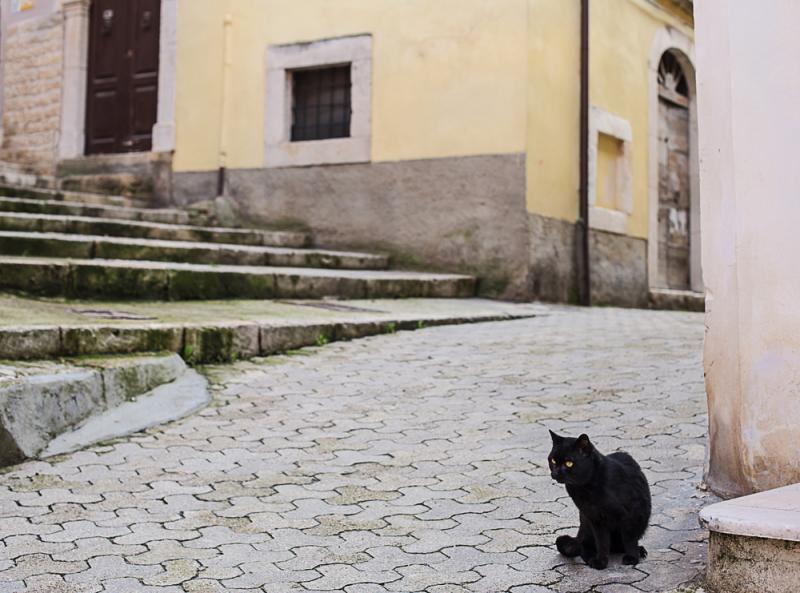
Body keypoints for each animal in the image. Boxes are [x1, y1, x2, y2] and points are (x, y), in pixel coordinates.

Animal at [548, 430, 652, 568]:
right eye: (553, 460)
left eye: (569, 463)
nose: (555, 472)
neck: (586, 488)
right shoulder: (595, 518)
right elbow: (602, 542)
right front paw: (601, 561)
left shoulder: (631, 514)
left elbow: (629, 539)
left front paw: (632, 558)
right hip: (586, 525)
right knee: (583, 547)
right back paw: (590, 557)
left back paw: (639, 551)